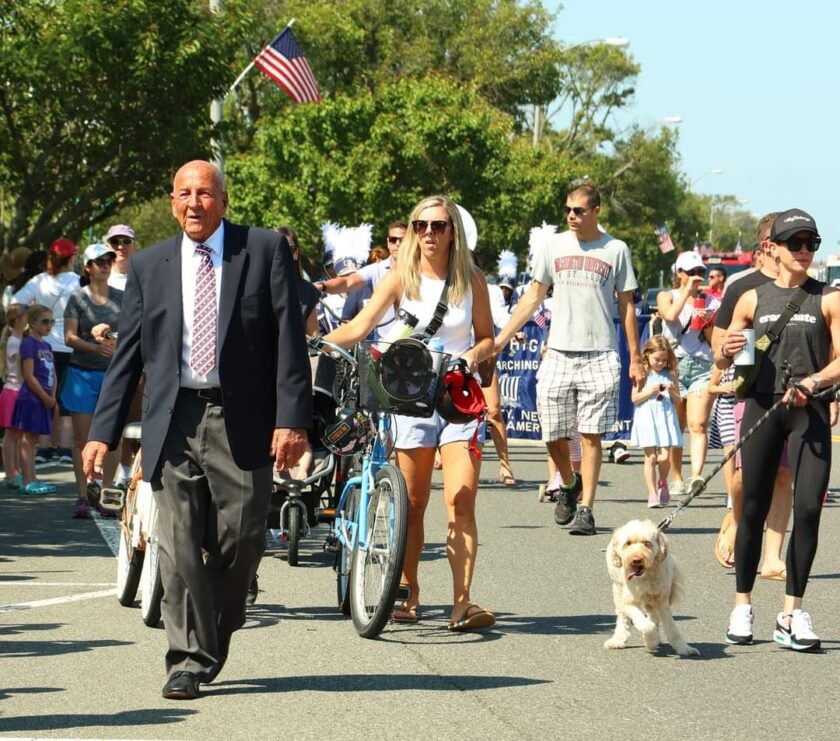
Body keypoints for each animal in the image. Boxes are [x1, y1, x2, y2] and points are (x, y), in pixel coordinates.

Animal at [608, 516, 700, 656]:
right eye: (628, 543)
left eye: (646, 543)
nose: (636, 560)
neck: (645, 577)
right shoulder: (628, 602)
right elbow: (645, 624)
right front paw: (651, 641)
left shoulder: (661, 601)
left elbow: (672, 628)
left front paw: (683, 648)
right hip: (618, 591)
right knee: (623, 617)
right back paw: (618, 639)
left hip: (652, 599)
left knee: (652, 615)